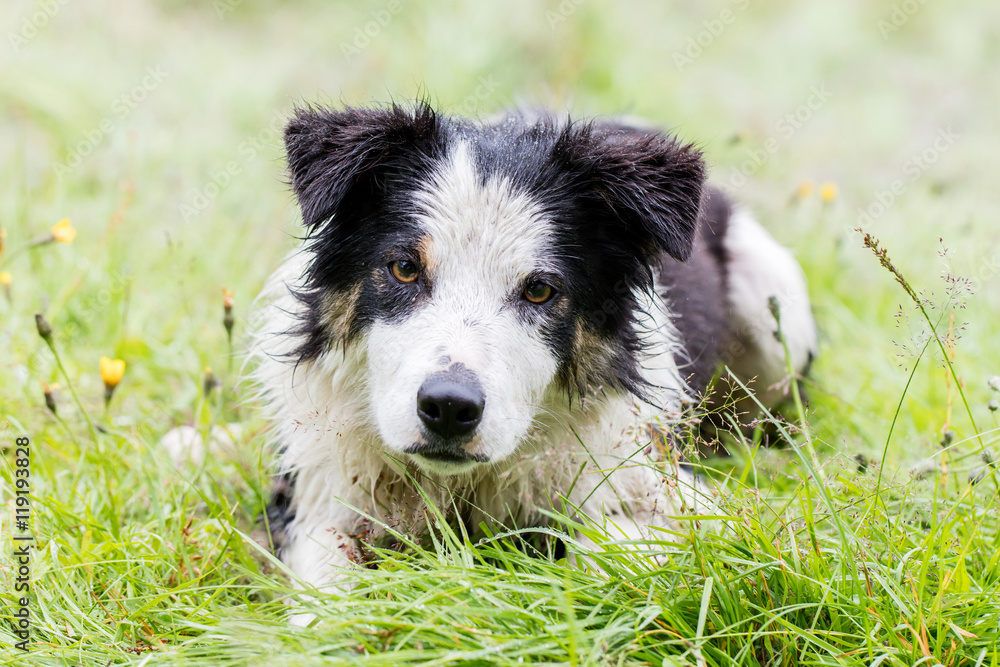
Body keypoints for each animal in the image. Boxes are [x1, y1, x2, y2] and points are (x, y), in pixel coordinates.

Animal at [246, 100, 816, 612]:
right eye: (405, 268)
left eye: (540, 290)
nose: (448, 407)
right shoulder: (314, 489)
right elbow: (325, 581)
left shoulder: (670, 488)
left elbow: (610, 544)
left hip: (776, 308)